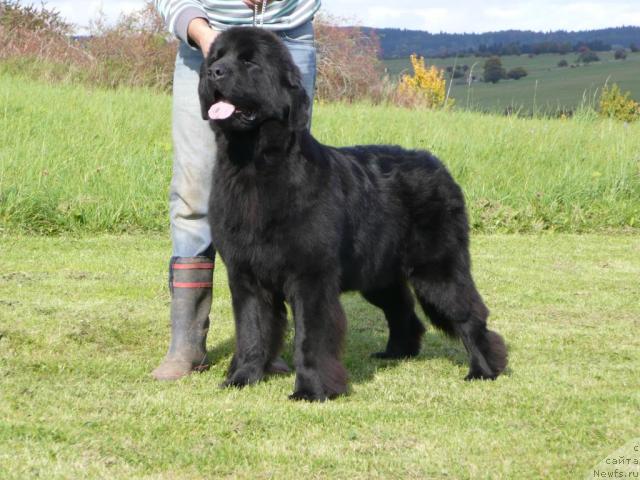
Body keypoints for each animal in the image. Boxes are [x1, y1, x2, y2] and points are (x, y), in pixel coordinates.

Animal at [198, 27, 508, 402]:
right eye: (217, 57)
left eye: (249, 62)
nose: (213, 72)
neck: (254, 166)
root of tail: (438, 165)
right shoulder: (246, 275)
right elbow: (251, 331)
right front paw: (242, 378)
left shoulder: (311, 277)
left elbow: (311, 337)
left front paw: (312, 389)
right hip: (380, 273)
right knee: (403, 310)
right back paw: (397, 353)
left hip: (437, 270)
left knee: (469, 314)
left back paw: (485, 368)